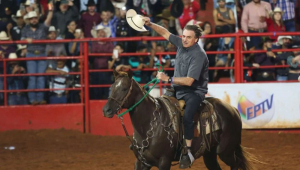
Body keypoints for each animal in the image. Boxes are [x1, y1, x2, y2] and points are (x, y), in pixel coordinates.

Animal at [102, 69, 253, 169]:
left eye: (124, 88)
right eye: (112, 87)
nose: (106, 110)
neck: (149, 124)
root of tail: (233, 110)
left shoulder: (164, 162)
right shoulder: (141, 162)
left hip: (226, 151)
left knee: (236, 165)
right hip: (210, 154)